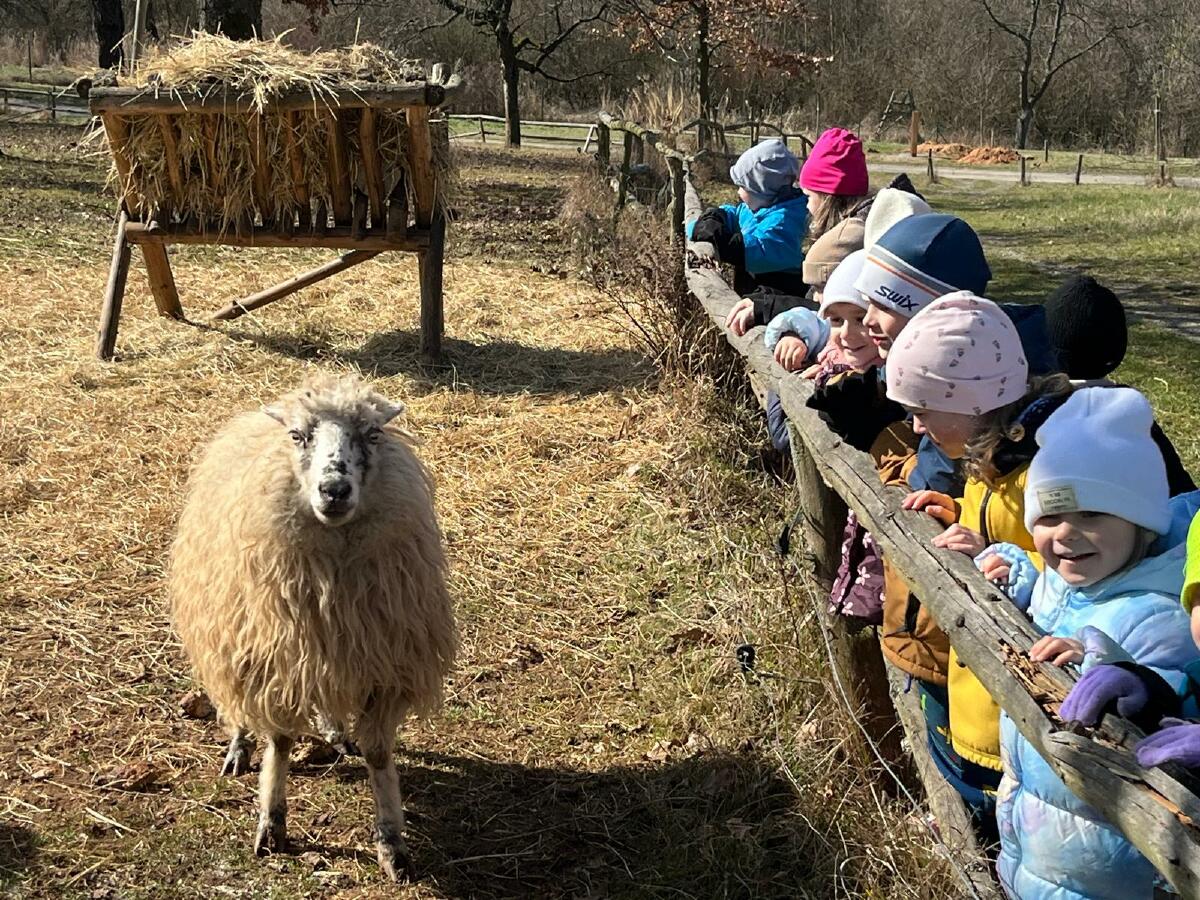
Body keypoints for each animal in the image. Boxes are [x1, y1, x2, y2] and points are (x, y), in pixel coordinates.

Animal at [169, 373, 456, 881]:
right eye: (297, 436)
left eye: (373, 434)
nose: (334, 488)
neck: (333, 585)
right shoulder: (276, 659)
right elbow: (280, 741)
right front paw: (272, 825)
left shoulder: (381, 663)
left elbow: (378, 754)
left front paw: (392, 844)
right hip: (233, 636)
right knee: (238, 702)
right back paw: (239, 746)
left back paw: (333, 730)